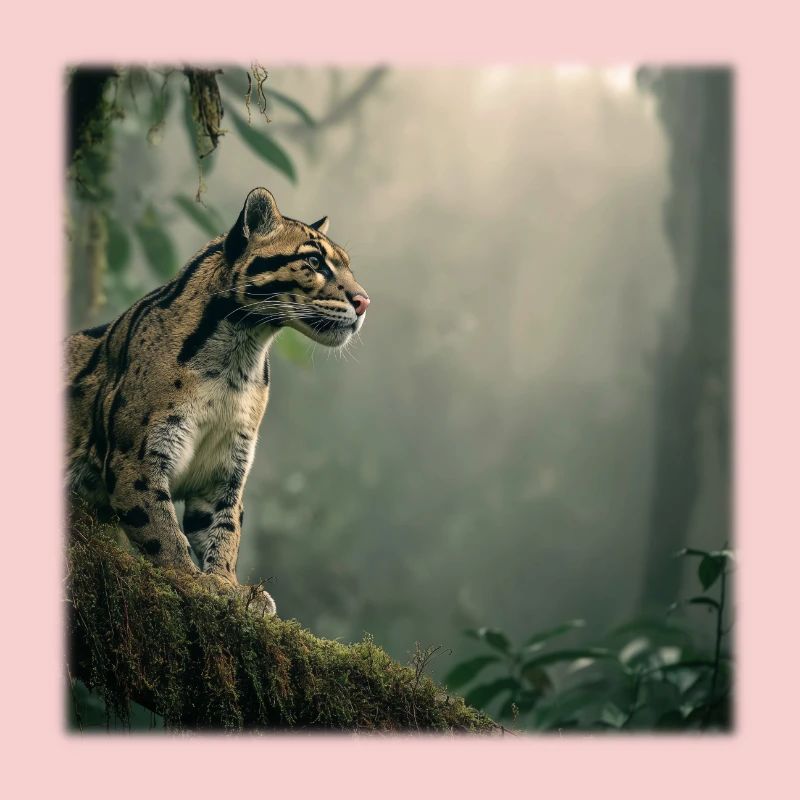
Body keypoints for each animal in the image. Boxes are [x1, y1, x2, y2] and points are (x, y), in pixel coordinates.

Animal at [66, 187, 370, 616]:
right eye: (314, 262)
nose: (364, 302)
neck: (236, 361)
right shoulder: (135, 459)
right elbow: (161, 528)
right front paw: (190, 580)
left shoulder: (225, 468)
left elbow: (224, 530)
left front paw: (228, 584)